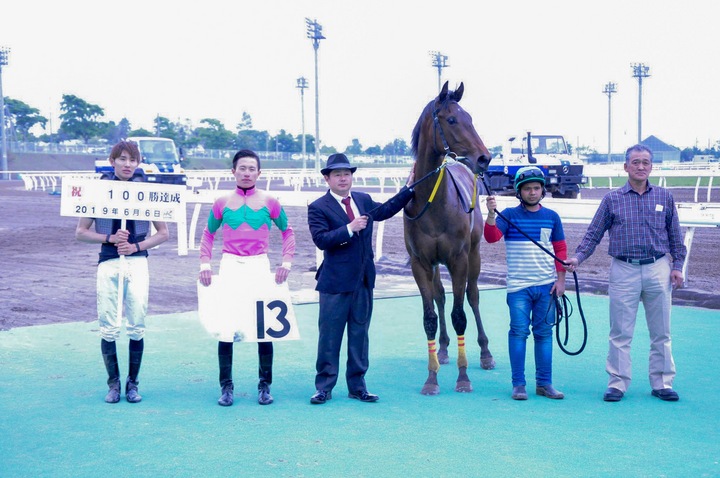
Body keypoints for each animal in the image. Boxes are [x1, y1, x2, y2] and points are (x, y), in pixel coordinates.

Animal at [403, 81, 496, 395]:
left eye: (471, 118)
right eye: (452, 119)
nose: (484, 158)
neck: (432, 201)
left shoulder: (459, 259)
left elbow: (460, 315)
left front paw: (463, 377)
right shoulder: (420, 263)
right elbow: (430, 317)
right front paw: (431, 379)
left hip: (475, 255)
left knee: (473, 296)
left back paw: (485, 353)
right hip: (435, 265)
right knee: (441, 297)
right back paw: (443, 350)